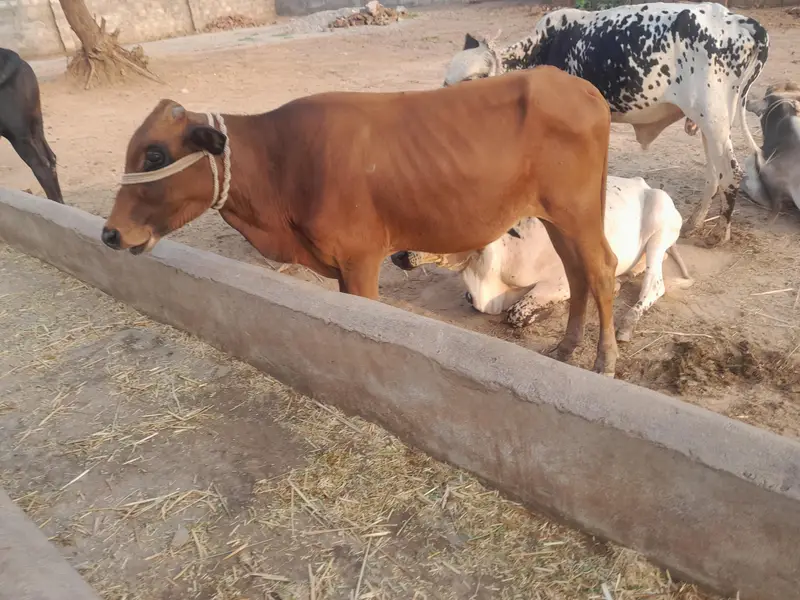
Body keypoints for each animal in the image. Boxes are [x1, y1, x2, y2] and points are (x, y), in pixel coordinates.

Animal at [100, 67, 623, 376]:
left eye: (154, 154)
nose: (110, 233)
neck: (280, 161)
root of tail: (581, 87)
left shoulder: (360, 261)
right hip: (557, 216)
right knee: (577, 273)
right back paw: (565, 349)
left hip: (576, 212)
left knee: (601, 270)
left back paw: (604, 360)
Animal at [391, 175, 693, 342]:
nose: (396, 255)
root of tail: (644, 184)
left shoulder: (564, 279)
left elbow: (516, 313)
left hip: (659, 234)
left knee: (655, 285)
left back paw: (628, 322)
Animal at [442, 2, 769, 246]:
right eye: (445, 83)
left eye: (469, 83)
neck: (542, 49)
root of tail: (740, 21)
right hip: (711, 123)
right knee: (714, 175)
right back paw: (694, 224)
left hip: (713, 118)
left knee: (731, 173)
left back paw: (719, 234)